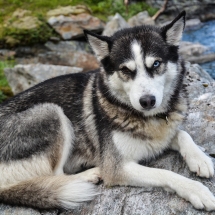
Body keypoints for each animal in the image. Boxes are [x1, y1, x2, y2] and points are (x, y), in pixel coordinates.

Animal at [0, 10, 215, 211]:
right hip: (51, 112)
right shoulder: (117, 168)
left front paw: (201, 159)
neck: (147, 118)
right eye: (126, 70)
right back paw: (90, 174)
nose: (147, 101)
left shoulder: (163, 134)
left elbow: (182, 134)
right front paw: (197, 190)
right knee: (56, 175)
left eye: (156, 64)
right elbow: (165, 173)